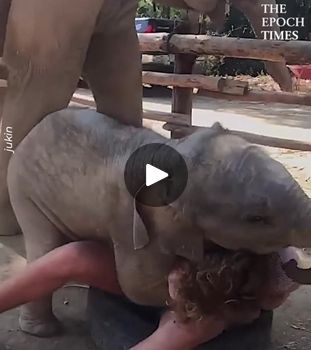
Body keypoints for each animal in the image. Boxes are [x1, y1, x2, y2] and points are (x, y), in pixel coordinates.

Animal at [6, 108, 311, 340]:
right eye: (257, 218)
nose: (293, 263)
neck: (172, 152)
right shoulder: (130, 222)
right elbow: (137, 286)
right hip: (25, 190)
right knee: (44, 247)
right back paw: (43, 332)